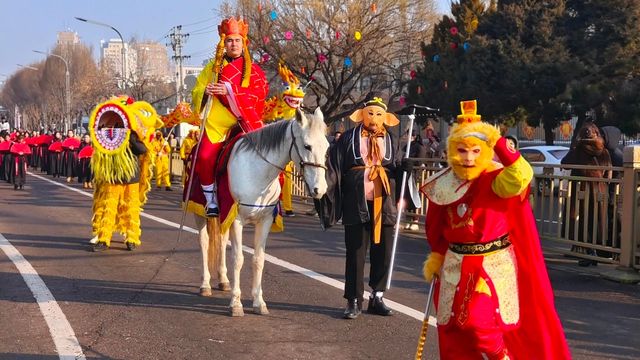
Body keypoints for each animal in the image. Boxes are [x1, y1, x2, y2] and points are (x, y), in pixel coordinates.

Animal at [192, 108, 328, 316]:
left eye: (327, 147)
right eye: (307, 146)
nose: (320, 189)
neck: (258, 172)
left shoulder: (263, 221)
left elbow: (258, 260)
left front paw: (258, 302)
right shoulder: (237, 219)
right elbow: (238, 259)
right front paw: (236, 303)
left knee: (221, 241)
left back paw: (223, 280)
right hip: (200, 212)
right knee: (204, 242)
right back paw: (205, 284)